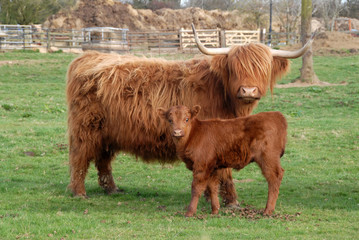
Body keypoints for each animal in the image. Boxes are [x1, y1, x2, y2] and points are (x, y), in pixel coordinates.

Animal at [159, 106, 288, 217]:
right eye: (170, 120)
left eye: (186, 119)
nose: (177, 132)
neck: (193, 135)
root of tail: (276, 115)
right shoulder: (213, 167)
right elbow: (212, 187)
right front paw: (215, 210)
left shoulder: (201, 166)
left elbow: (196, 188)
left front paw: (190, 212)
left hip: (268, 159)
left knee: (275, 177)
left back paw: (268, 210)